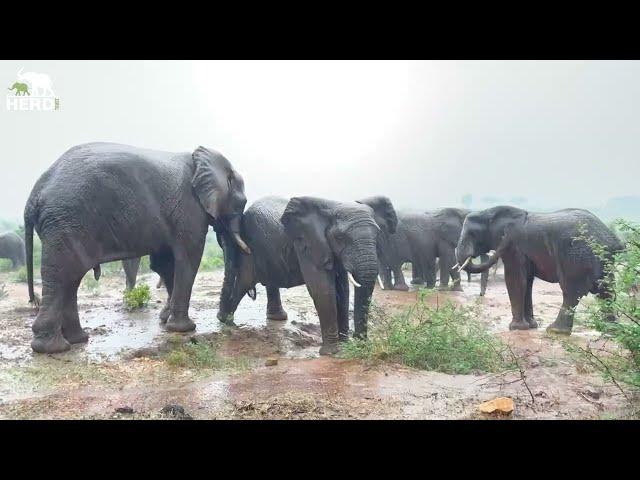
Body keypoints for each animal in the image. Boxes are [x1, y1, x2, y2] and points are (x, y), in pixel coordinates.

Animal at [22, 142, 249, 352]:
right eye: (241, 203)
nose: (224, 319)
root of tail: (34, 195)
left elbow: (164, 264)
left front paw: (165, 319)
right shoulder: (189, 208)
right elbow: (188, 258)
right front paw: (184, 329)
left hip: (64, 224)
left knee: (71, 278)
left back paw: (78, 339)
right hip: (65, 221)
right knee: (64, 274)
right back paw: (53, 348)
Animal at [216, 196, 390, 356]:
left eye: (377, 235)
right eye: (340, 238)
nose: (361, 343)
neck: (332, 206)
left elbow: (342, 290)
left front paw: (344, 344)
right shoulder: (307, 245)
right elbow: (322, 289)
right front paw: (331, 352)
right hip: (249, 248)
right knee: (244, 282)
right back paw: (226, 321)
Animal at [458, 206, 624, 334]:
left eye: (472, 234)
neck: (488, 212)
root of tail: (612, 239)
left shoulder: (513, 247)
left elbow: (515, 279)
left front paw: (516, 328)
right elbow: (527, 281)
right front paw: (531, 326)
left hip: (577, 255)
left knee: (571, 292)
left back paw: (556, 331)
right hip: (602, 260)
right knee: (607, 291)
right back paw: (611, 331)